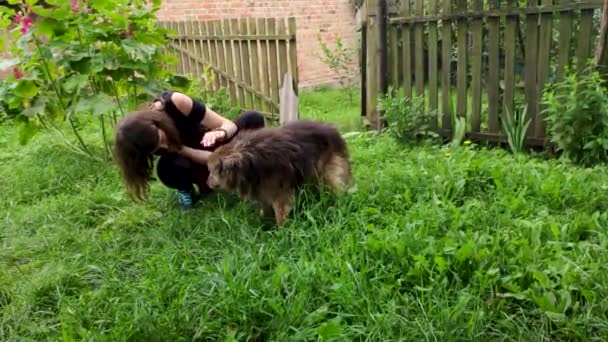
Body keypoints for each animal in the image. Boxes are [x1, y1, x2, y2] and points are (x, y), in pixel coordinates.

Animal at [207, 119, 352, 224]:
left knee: (336, 187)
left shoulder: (279, 194)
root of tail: (331, 129)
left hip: (327, 172)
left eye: (212, 171)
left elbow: (280, 215)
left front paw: (281, 233)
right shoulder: (263, 190)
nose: (207, 183)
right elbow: (264, 209)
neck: (249, 161)